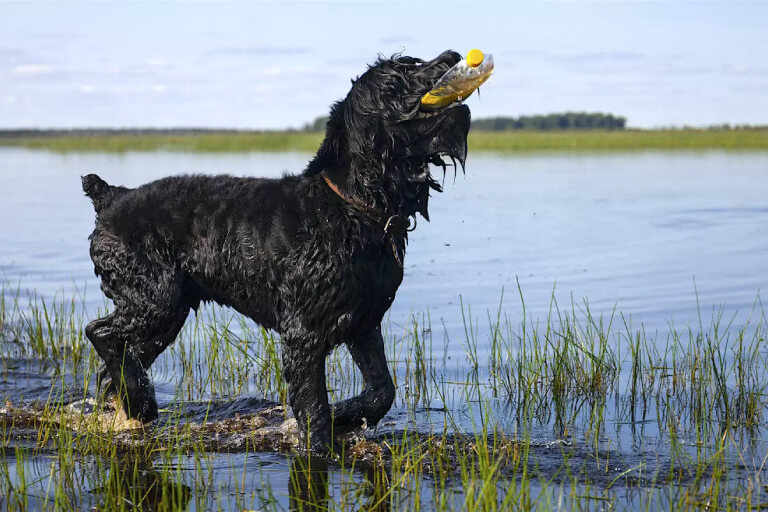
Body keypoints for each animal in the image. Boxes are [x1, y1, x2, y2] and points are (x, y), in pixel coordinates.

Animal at [81, 51, 472, 452]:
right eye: (401, 74)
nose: (453, 56)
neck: (351, 206)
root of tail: (111, 197)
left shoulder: (363, 322)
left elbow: (382, 391)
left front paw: (346, 416)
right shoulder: (304, 334)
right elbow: (314, 410)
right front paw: (321, 441)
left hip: (165, 315)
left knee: (114, 367)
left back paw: (134, 407)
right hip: (155, 302)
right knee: (101, 333)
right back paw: (140, 402)